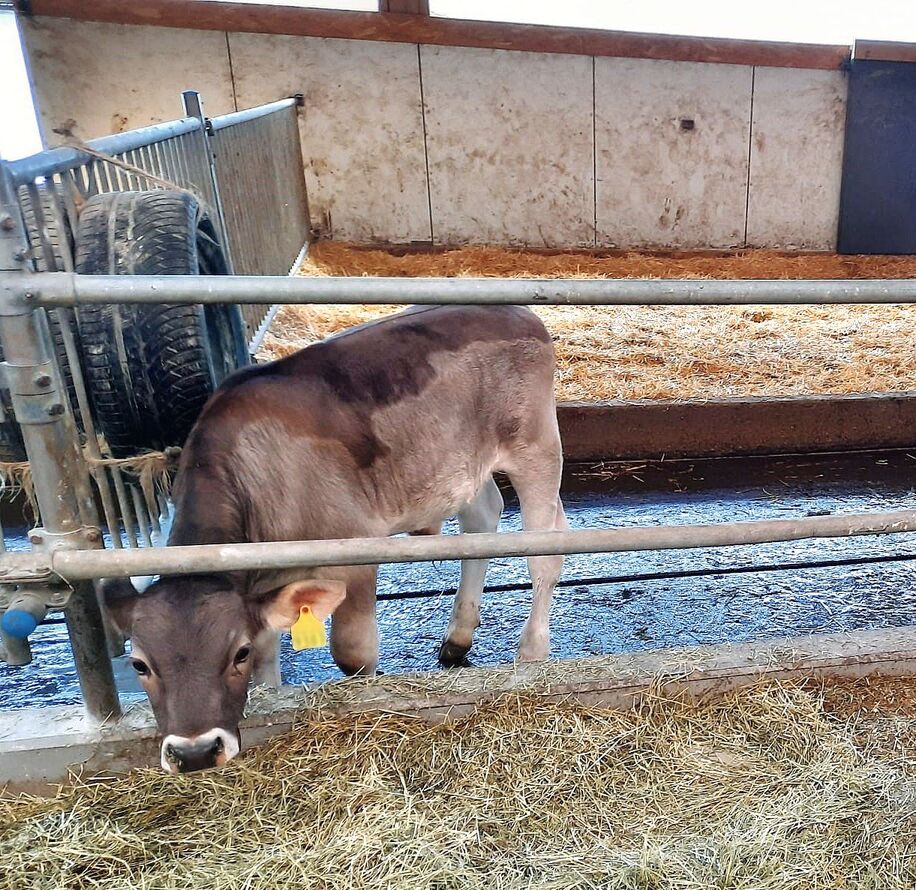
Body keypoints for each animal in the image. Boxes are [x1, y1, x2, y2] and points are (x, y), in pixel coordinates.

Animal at [101, 305, 567, 773]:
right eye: (139, 664)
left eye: (236, 653)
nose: (194, 752)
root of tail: (518, 312)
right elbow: (269, 666)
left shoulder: (355, 550)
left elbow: (353, 654)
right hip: (462, 466)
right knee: (482, 519)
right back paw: (458, 637)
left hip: (536, 447)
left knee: (546, 548)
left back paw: (532, 650)